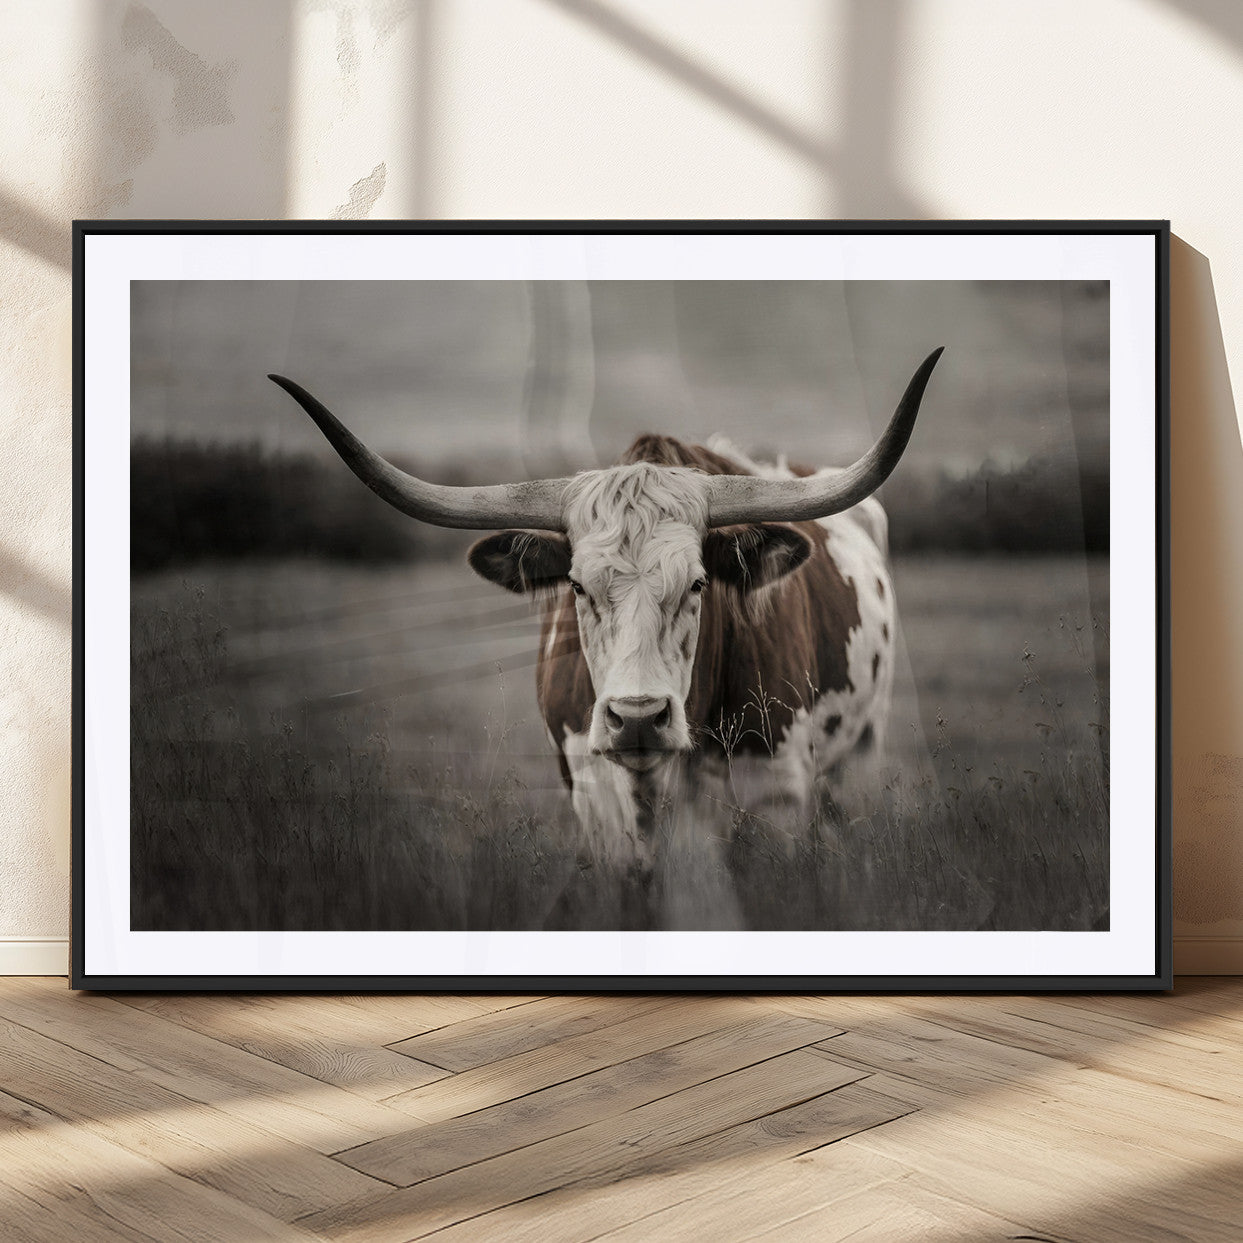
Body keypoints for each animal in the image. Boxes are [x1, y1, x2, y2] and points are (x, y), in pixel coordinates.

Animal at [268, 347, 942, 926]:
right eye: (576, 585)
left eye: (699, 583)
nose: (637, 717)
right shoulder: (596, 804)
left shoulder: (776, 790)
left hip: (855, 760)